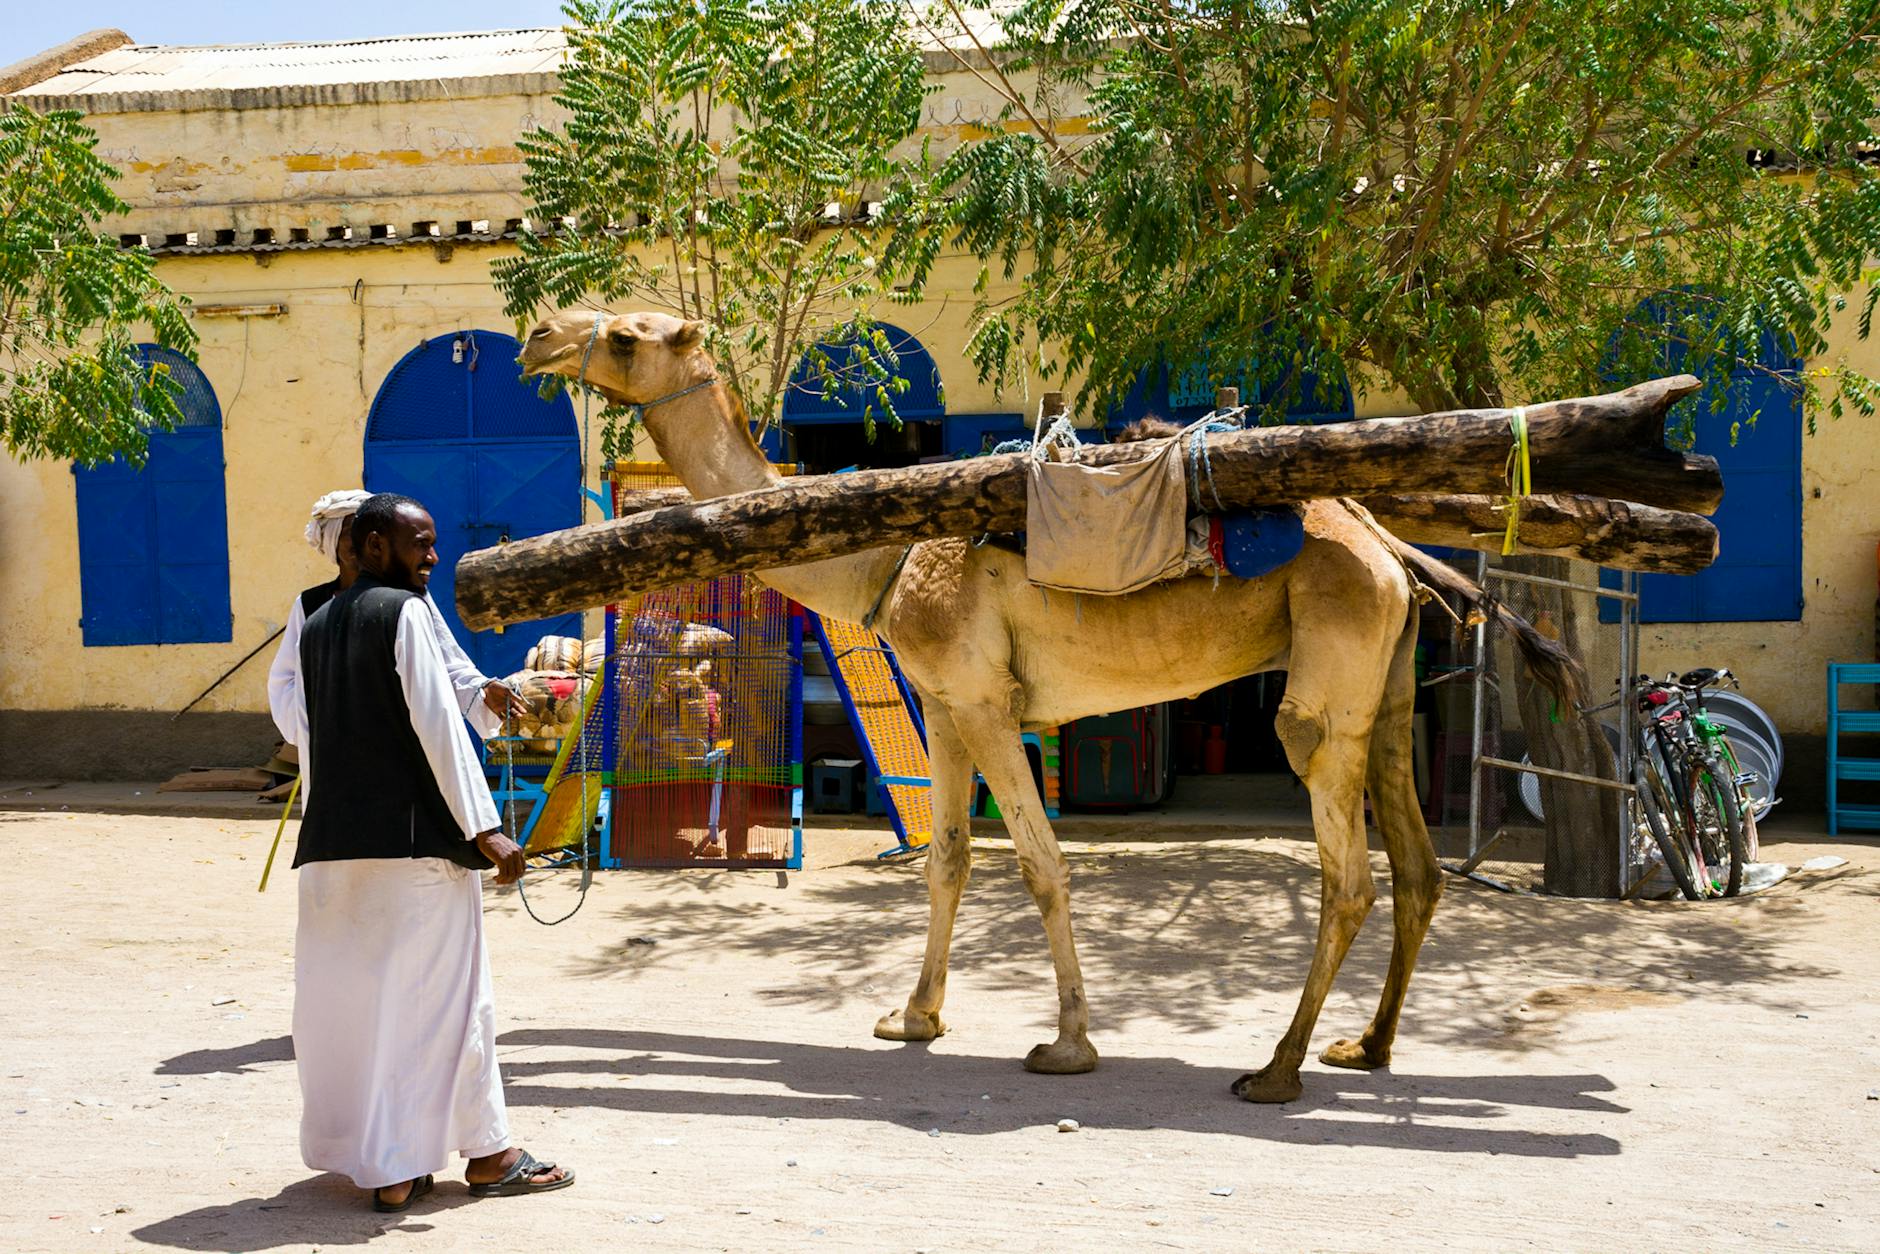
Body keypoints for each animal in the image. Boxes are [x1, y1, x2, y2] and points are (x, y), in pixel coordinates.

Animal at [519, 309, 1572, 1102]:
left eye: (625, 335)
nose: (537, 336)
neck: (887, 556)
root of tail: (1390, 549)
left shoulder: (987, 702)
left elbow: (1040, 863)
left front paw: (1067, 1044)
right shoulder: (943, 706)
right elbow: (945, 859)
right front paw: (913, 1017)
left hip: (1328, 681)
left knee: (1345, 867)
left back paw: (1276, 1070)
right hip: (1382, 688)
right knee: (1417, 867)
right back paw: (1368, 1046)